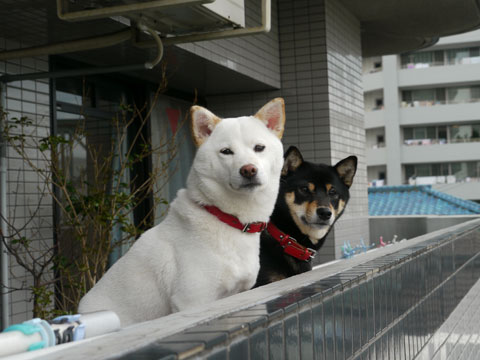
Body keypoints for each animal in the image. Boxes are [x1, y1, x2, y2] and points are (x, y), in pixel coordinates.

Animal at [79, 97, 284, 326]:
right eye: (226, 151)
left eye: (259, 147)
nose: (248, 170)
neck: (226, 218)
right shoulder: (193, 300)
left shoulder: (240, 294)